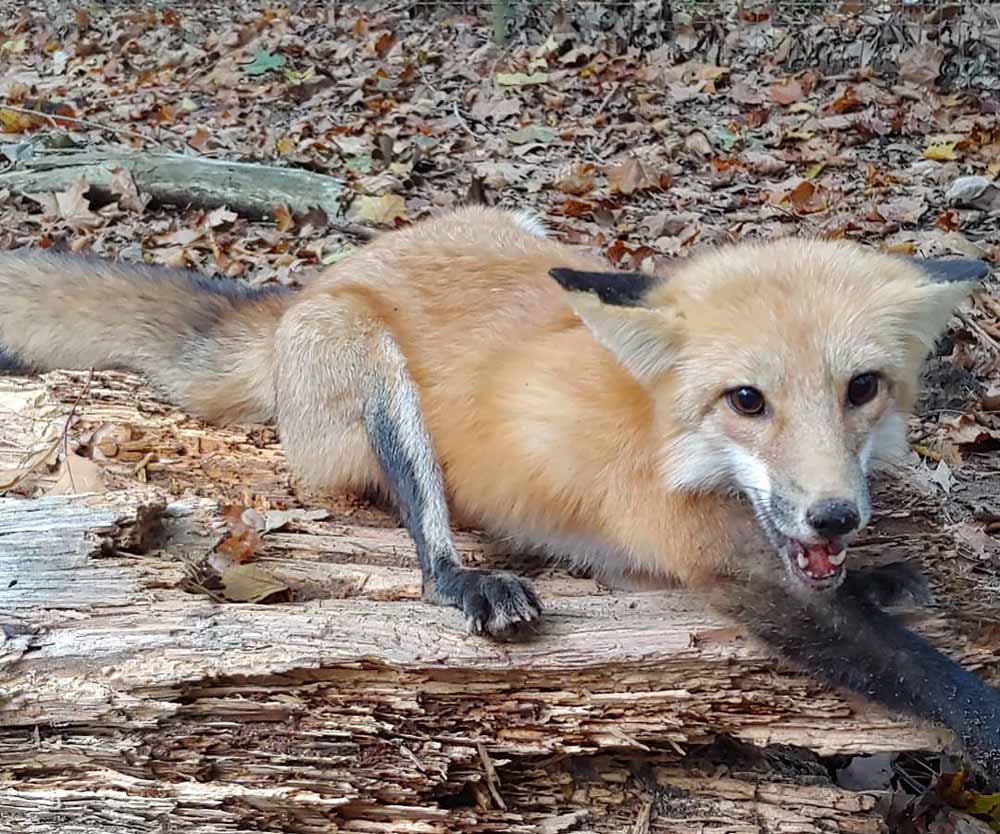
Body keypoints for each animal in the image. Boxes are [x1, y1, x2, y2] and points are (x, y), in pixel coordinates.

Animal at [0, 205, 998, 782]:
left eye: (862, 389)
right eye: (747, 401)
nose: (836, 514)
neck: (664, 430)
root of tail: (305, 292)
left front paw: (878, 574)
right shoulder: (712, 559)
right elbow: (912, 666)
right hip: (373, 369)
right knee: (428, 547)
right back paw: (468, 578)